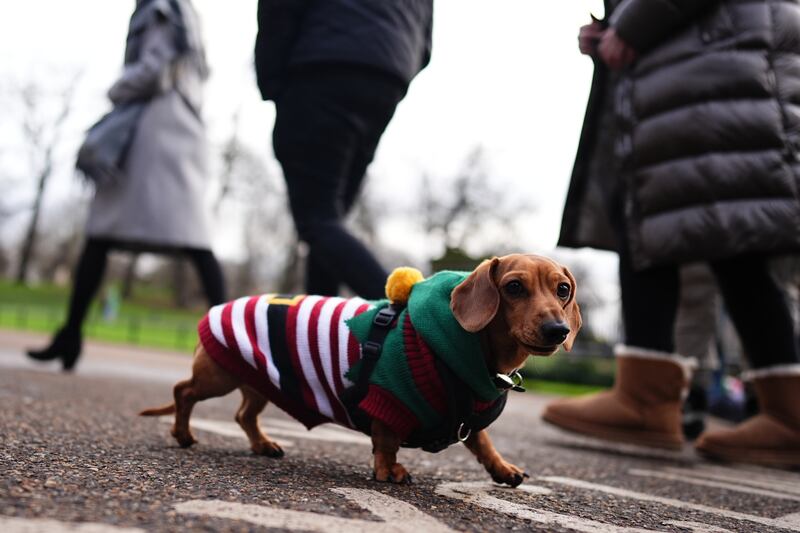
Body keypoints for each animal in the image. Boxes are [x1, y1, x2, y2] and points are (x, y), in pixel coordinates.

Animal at [142, 254, 580, 486]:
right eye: (513, 287)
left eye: (562, 290)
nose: (558, 331)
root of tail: (220, 307)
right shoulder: (387, 401)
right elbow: (386, 443)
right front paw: (389, 471)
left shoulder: (464, 416)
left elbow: (482, 441)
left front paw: (503, 468)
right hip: (218, 376)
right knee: (183, 392)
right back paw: (183, 434)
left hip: (259, 383)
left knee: (243, 415)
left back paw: (263, 444)